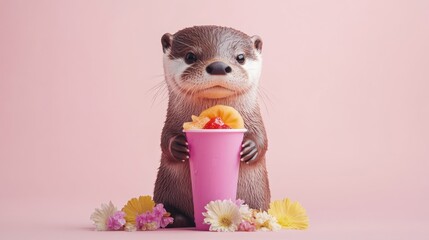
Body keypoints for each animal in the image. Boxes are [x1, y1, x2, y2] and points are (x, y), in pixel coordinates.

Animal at [152, 25, 270, 227]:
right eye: (190, 56)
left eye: (240, 57)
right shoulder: (169, 123)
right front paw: (178, 145)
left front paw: (250, 148)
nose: (218, 66)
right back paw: (177, 218)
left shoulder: (256, 122)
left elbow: (263, 140)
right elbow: (164, 140)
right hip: (163, 190)